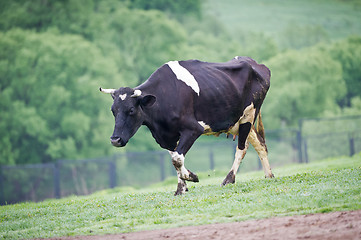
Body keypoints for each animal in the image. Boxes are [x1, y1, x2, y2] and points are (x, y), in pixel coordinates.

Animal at [98, 57, 272, 196]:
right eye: (113, 110)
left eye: (131, 110)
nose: (115, 140)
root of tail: (254, 62)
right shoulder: (165, 137)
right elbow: (175, 158)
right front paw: (181, 188)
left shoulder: (193, 129)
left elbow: (177, 158)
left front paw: (191, 176)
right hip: (240, 120)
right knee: (259, 143)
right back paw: (269, 175)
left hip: (249, 115)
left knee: (242, 148)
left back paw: (229, 179)